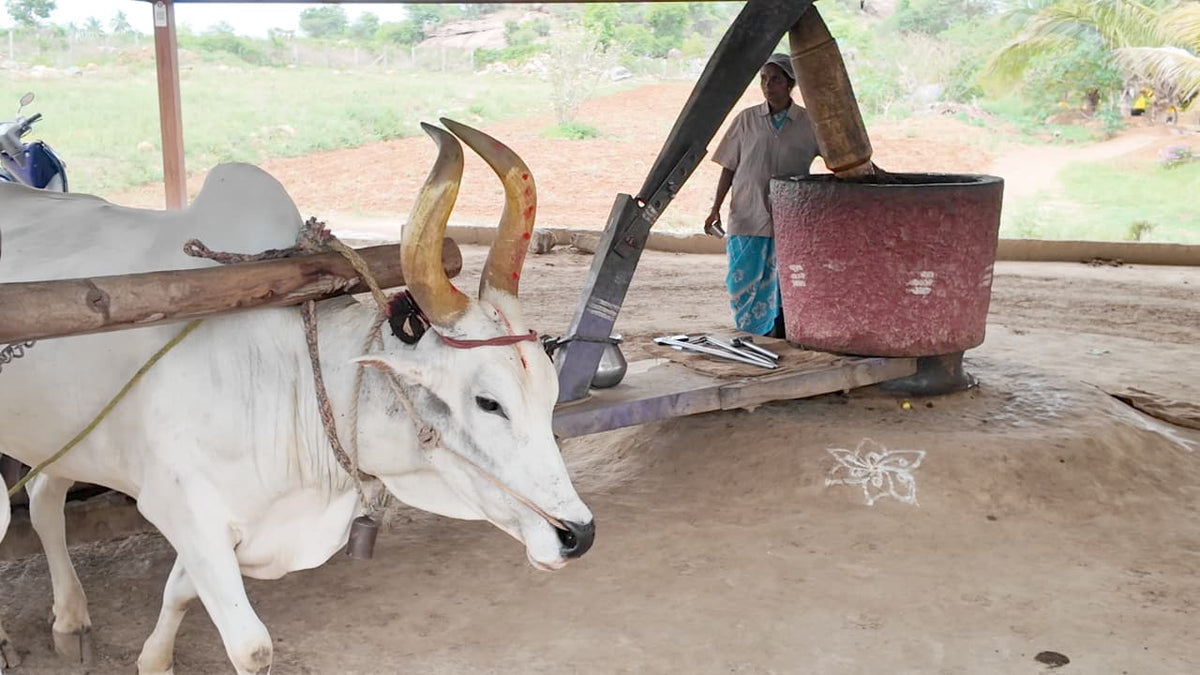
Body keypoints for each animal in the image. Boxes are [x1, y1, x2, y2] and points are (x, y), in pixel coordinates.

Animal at [0, 119, 594, 674]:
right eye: (488, 402)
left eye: (550, 393)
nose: (578, 536)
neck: (286, 378)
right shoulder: (182, 506)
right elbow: (252, 647)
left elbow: (180, 593)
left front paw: (154, 659)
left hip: (65, 436)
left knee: (46, 499)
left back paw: (71, 619)